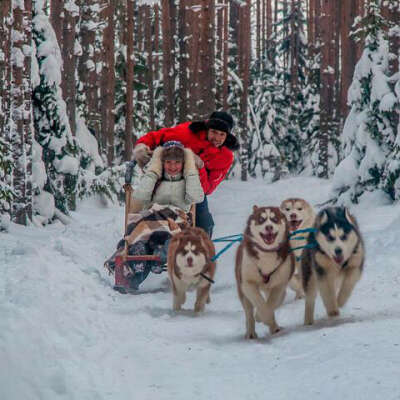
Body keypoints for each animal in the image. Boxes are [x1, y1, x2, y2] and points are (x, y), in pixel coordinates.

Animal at [234, 208, 294, 340]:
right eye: (261, 220)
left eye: (274, 219)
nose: (269, 227)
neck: (267, 255)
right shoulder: (247, 283)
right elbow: (259, 302)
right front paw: (261, 316)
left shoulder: (279, 284)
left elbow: (272, 303)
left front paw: (265, 318)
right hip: (242, 290)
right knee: (248, 311)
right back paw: (251, 332)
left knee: (277, 299)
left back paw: (274, 327)